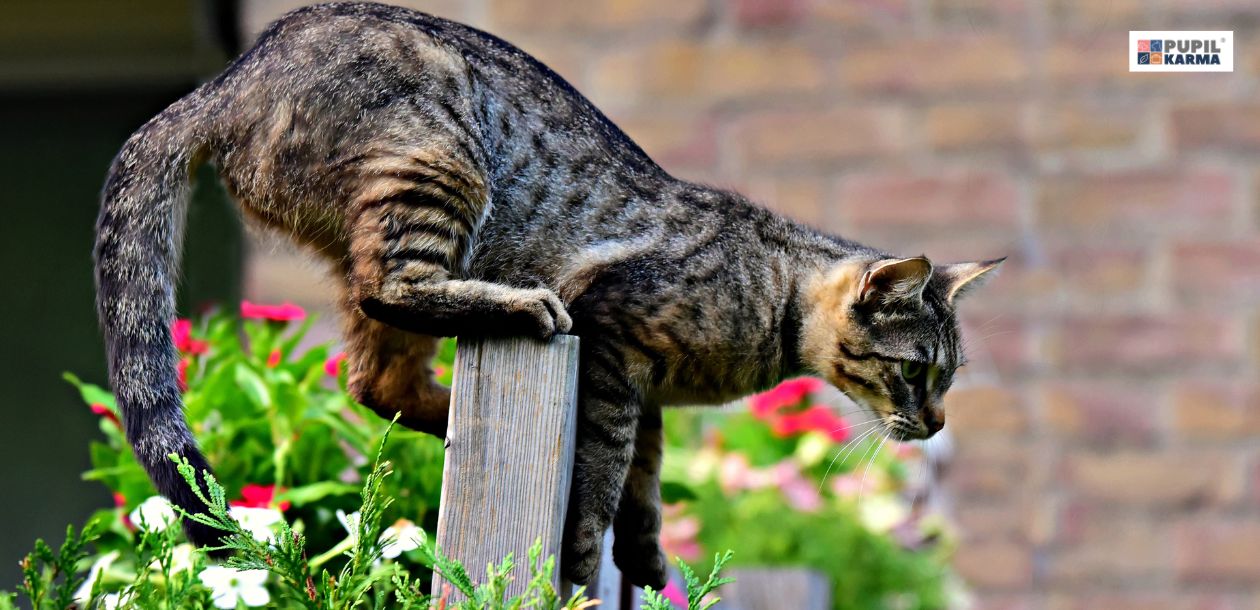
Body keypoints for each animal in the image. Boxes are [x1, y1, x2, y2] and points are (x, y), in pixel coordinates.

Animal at [93, 2, 1002, 587]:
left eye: (947, 378)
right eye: (915, 372)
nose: (936, 423)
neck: (770, 301)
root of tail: (224, 82)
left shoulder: (645, 390)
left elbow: (645, 478)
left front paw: (645, 556)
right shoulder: (614, 346)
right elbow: (603, 473)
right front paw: (584, 555)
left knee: (375, 380)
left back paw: (451, 420)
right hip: (436, 164)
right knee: (394, 292)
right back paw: (521, 310)